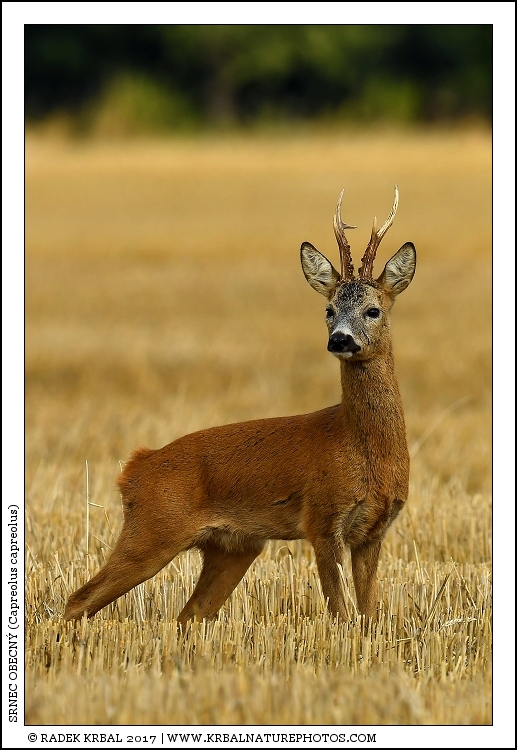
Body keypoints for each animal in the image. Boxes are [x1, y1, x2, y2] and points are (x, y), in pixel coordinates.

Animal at [64, 187, 416, 628]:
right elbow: (340, 613)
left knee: (189, 615)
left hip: (233, 546)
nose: (340, 339)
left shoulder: (374, 529)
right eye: (329, 309)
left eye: (373, 309)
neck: (366, 449)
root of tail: (135, 468)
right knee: (78, 601)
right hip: (152, 529)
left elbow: (369, 616)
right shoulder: (321, 517)